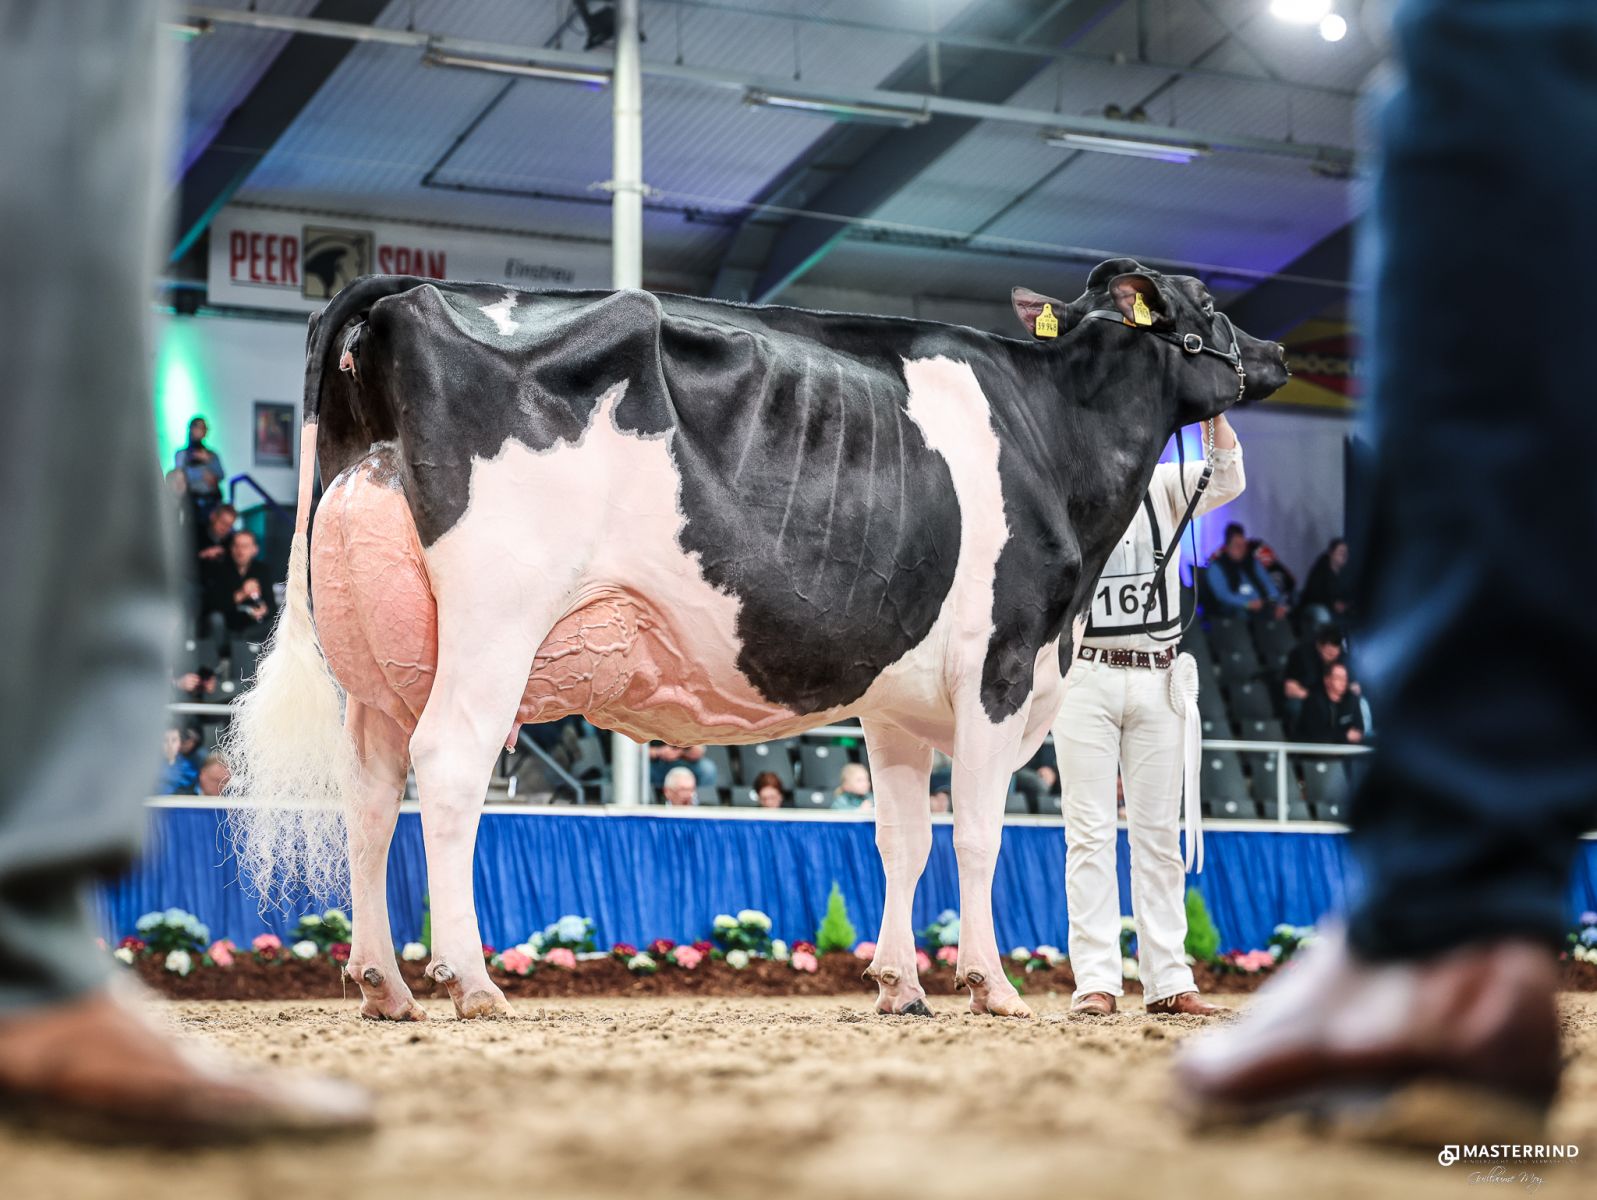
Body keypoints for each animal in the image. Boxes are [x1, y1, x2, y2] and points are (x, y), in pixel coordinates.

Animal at [224, 258, 1289, 1022]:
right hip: (496, 620)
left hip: (376, 658)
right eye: (1207, 305)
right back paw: (472, 985)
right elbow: (977, 836)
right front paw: (989, 987)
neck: (1051, 432)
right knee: (447, 768)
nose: (1276, 351)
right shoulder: (1000, 664)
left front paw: (899, 986)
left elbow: (900, 839)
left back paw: (384, 986)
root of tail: (408, 288)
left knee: (369, 792)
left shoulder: (894, 705)